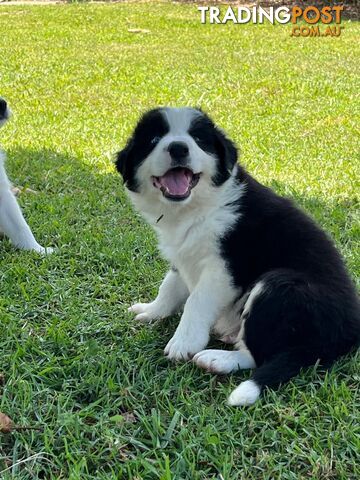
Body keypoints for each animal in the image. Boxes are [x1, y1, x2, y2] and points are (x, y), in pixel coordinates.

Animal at [116, 108, 358, 404]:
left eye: (198, 139)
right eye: (153, 139)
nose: (178, 148)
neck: (195, 208)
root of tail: (349, 333)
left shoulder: (225, 267)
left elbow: (197, 300)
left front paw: (183, 342)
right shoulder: (183, 253)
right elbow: (169, 286)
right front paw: (152, 311)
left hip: (281, 285)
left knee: (260, 356)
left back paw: (218, 359)